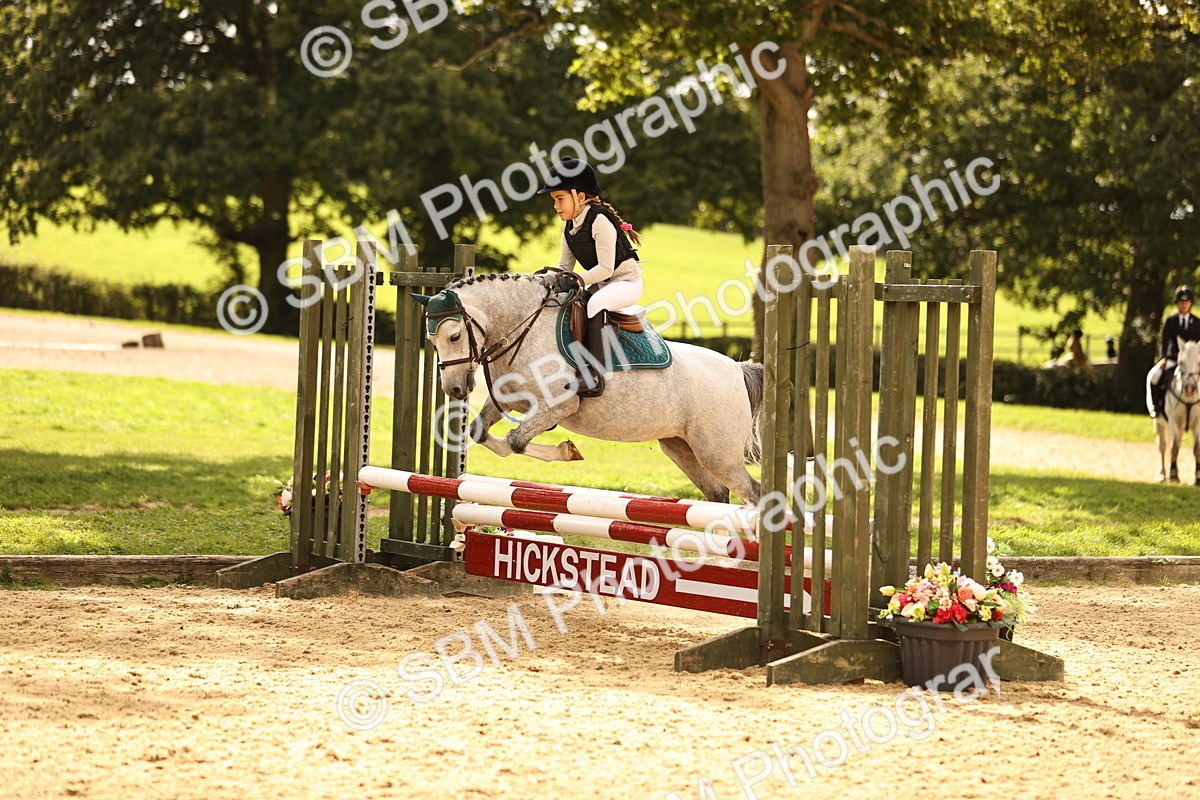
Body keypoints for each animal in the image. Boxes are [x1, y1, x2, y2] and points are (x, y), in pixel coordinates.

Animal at [413, 273, 771, 504]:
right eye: (431, 340)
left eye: (454, 336)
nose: (455, 389)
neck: (525, 328)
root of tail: (738, 370)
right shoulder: (508, 400)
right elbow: (481, 433)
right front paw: (567, 451)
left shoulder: (558, 407)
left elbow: (515, 441)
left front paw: (567, 451)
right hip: (682, 448)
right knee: (718, 494)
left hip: (717, 453)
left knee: (753, 493)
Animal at [1156, 338, 1200, 483]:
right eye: (1181, 363)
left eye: (1199, 362)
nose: (1190, 388)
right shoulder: (1173, 422)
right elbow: (1174, 448)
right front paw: (1173, 475)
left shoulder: (1198, 424)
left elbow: (1197, 449)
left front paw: (1198, 478)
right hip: (1160, 424)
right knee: (1163, 447)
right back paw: (1163, 474)